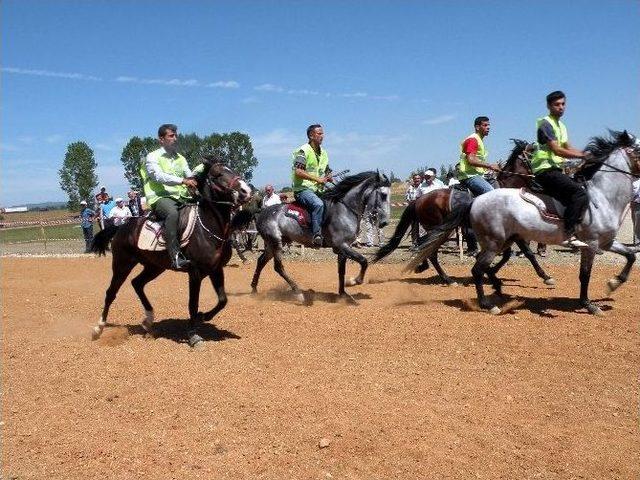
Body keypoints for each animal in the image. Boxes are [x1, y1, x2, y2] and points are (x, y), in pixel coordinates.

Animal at [89, 159, 252, 346]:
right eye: (217, 174)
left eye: (231, 169)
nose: (246, 190)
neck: (208, 228)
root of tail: (121, 227)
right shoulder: (195, 273)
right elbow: (193, 304)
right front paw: (193, 335)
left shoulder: (216, 269)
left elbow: (223, 300)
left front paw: (204, 316)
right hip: (122, 264)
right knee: (111, 293)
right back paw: (98, 328)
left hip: (154, 267)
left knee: (137, 283)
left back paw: (148, 321)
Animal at [249, 172, 390, 300]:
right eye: (383, 195)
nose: (384, 222)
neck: (345, 209)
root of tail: (262, 213)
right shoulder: (342, 245)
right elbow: (363, 261)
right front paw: (354, 281)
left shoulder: (343, 249)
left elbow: (341, 271)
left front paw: (343, 294)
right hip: (276, 242)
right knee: (278, 267)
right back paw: (298, 292)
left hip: (273, 243)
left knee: (261, 261)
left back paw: (254, 289)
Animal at [372, 141, 552, 286]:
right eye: (536, 157)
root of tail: (419, 199)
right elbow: (525, 253)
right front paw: (545, 276)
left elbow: (513, 254)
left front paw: (492, 272)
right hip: (439, 229)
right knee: (431, 252)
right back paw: (447, 279)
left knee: (426, 248)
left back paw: (426, 267)